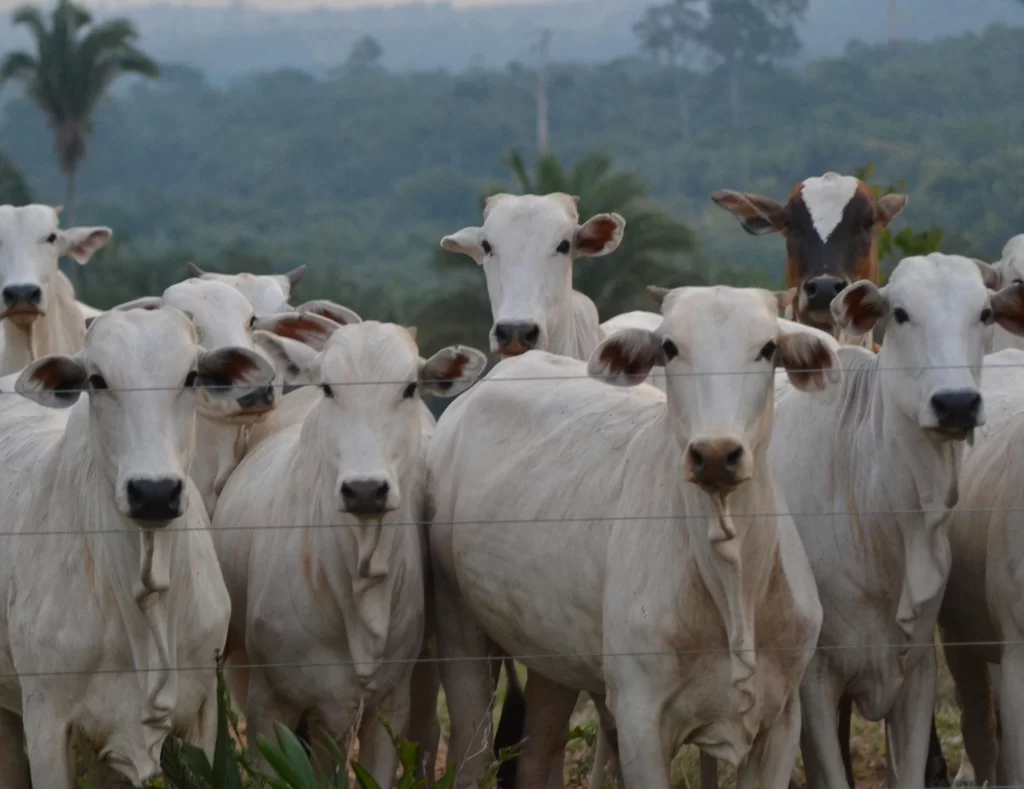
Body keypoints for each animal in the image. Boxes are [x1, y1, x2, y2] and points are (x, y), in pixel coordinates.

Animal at [428, 284, 835, 789]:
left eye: (767, 348)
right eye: (670, 347)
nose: (715, 454)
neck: (733, 589)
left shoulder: (780, 721)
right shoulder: (641, 720)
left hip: (552, 659)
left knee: (536, 754)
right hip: (460, 635)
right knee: (473, 752)